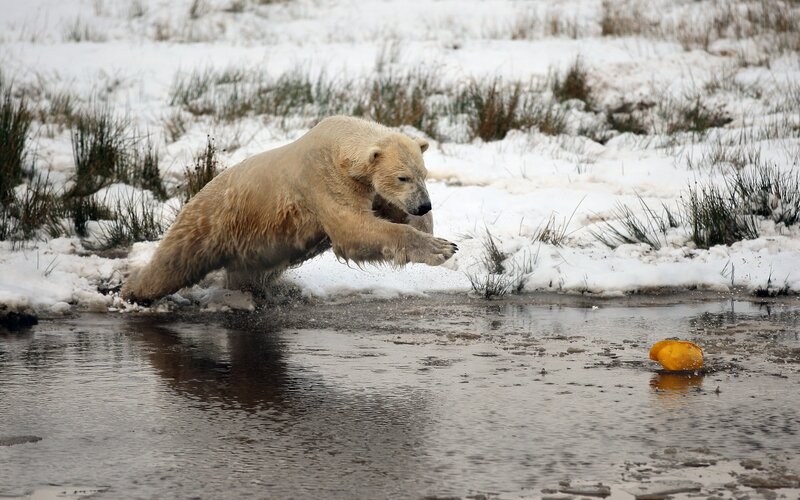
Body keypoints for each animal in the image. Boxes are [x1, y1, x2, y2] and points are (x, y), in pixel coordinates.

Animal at [121, 116, 458, 303]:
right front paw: (442, 249)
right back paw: (132, 292)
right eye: (402, 177)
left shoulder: (367, 187)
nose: (423, 204)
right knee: (174, 263)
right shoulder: (323, 180)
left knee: (245, 274)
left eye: (423, 173)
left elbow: (389, 211)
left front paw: (434, 235)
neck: (339, 144)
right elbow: (353, 229)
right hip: (210, 223)